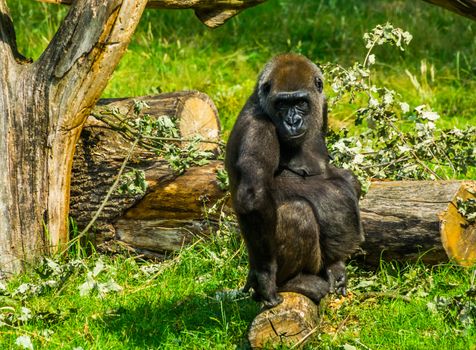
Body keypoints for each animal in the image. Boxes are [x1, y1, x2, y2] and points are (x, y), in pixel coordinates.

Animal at [225, 53, 362, 308]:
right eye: (282, 104)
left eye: (300, 102)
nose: (293, 121)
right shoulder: (257, 127)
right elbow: (253, 197)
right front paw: (265, 277)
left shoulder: (322, 103)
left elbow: (339, 174)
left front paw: (337, 266)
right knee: (297, 212)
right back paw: (289, 281)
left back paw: (333, 266)